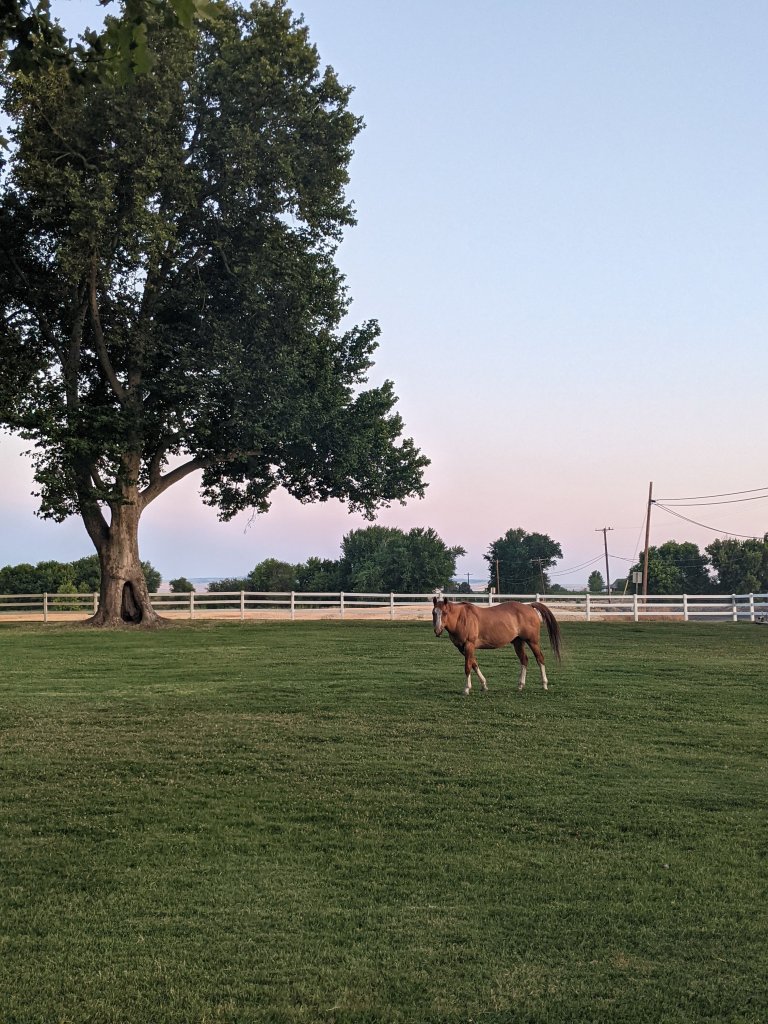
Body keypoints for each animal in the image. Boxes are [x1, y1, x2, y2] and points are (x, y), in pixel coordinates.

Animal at [432, 596, 563, 695]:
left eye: (445, 613)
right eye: (434, 613)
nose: (437, 631)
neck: (461, 618)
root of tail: (529, 606)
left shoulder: (469, 645)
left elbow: (468, 667)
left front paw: (466, 689)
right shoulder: (462, 648)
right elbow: (474, 664)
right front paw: (484, 685)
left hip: (532, 641)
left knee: (540, 659)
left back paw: (544, 684)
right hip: (518, 642)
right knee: (524, 660)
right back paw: (520, 685)